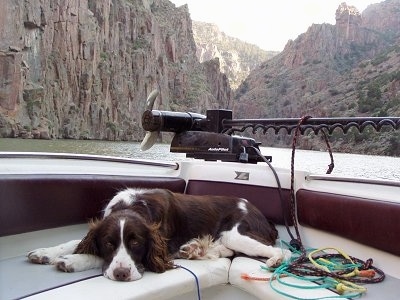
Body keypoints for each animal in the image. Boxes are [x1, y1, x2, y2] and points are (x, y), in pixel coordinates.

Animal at [28, 189, 290, 280]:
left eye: (136, 243)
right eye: (108, 242)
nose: (122, 275)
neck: (132, 206)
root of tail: (262, 215)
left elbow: (95, 257)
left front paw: (72, 260)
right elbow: (76, 242)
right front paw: (46, 252)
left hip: (235, 233)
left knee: (282, 251)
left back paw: (275, 260)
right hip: (228, 237)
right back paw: (194, 249)